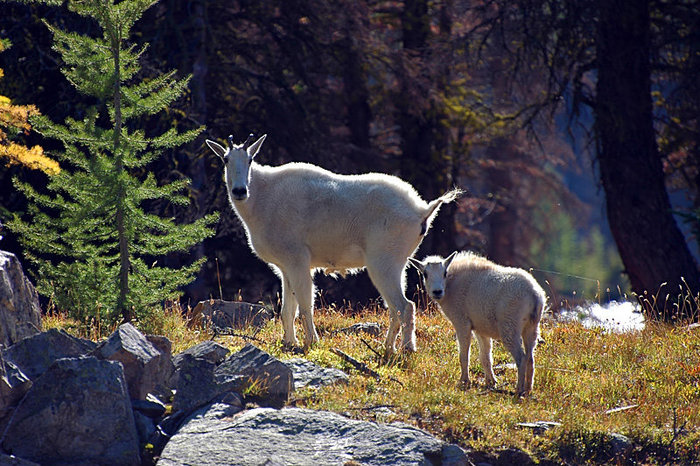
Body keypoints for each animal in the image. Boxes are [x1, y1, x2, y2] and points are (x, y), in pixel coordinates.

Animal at [205, 133, 462, 354]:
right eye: (225, 159)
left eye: (250, 159)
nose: (240, 191)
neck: (262, 197)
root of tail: (422, 211)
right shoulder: (285, 267)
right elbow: (288, 309)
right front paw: (289, 342)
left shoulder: (298, 260)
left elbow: (305, 304)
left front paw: (311, 341)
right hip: (398, 264)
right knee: (396, 308)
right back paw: (388, 347)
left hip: (383, 262)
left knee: (404, 306)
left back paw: (406, 348)